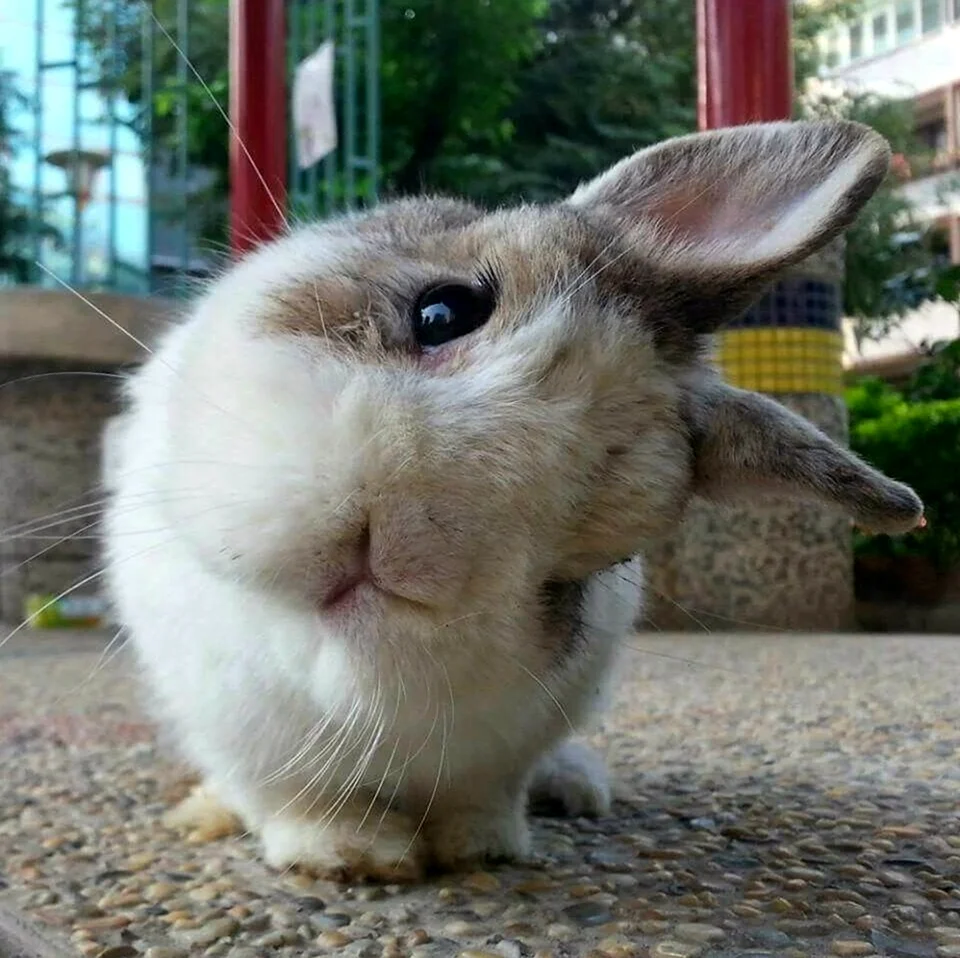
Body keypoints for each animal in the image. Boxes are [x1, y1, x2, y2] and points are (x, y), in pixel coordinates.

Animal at [103, 120, 924, 884]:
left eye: (600, 549)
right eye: (444, 310)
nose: (401, 549)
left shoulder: (509, 743)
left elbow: (483, 798)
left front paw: (482, 849)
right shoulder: (236, 730)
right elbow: (290, 798)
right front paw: (349, 856)